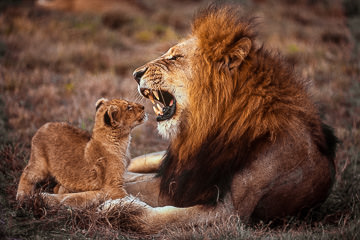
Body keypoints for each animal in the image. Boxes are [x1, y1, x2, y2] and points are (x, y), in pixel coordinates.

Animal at [15, 98, 145, 207]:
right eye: (129, 107)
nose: (143, 106)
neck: (122, 141)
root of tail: (43, 126)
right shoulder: (113, 187)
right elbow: (130, 198)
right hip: (39, 164)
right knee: (26, 174)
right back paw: (22, 196)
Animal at [120, 4, 338, 231]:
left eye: (176, 57)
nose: (135, 74)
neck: (214, 126)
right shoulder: (182, 180)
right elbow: (129, 182)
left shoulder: (230, 212)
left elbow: (152, 215)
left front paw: (121, 208)